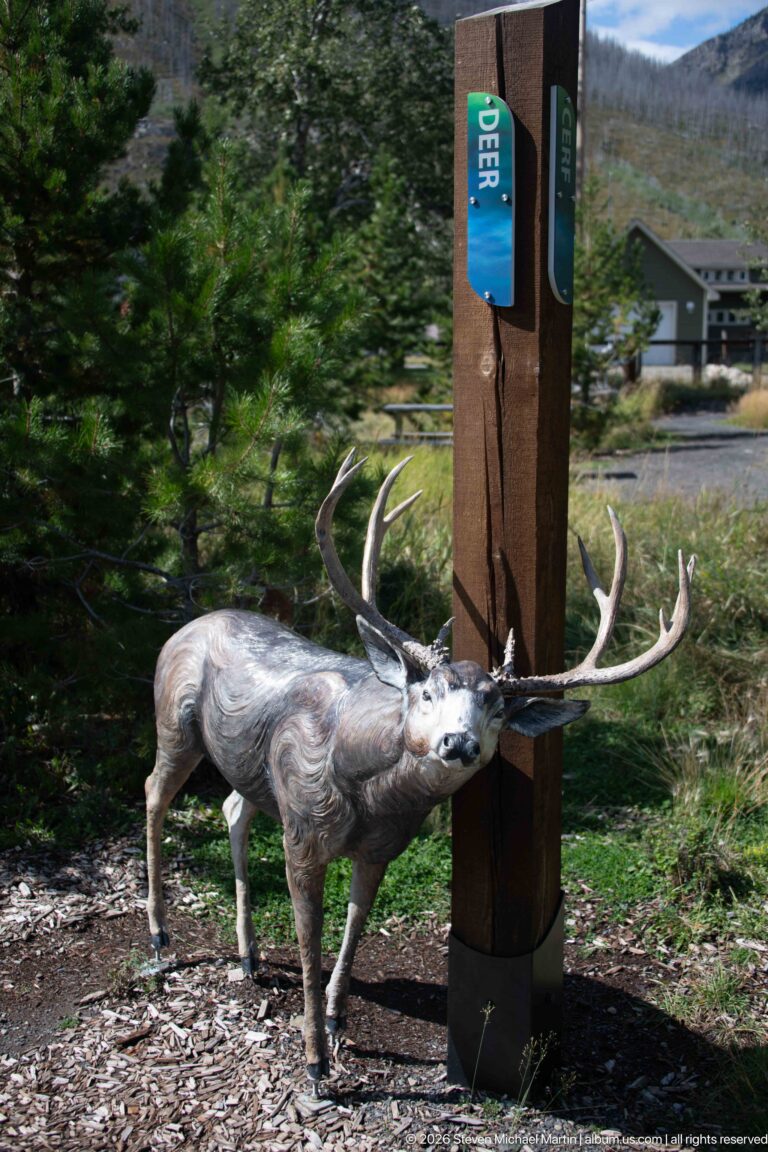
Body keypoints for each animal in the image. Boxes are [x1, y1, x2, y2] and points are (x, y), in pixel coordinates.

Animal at [145, 450, 694, 1087]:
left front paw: (336, 1017)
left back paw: (248, 954)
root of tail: (189, 624)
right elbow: (309, 937)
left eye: (499, 708)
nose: (459, 743)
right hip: (174, 720)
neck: (363, 788)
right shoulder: (302, 832)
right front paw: (314, 1059)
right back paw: (159, 933)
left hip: (249, 771)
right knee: (154, 791)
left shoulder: (383, 846)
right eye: (427, 692)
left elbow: (357, 922)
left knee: (232, 806)